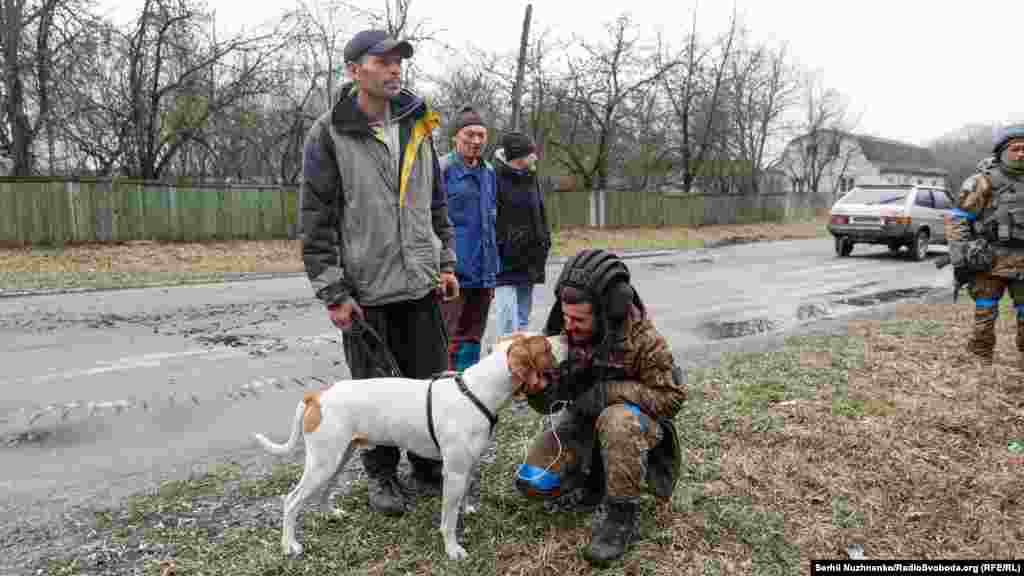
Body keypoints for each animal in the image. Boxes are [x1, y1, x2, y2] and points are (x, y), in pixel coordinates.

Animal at [250, 330, 565, 557]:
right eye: (545, 347)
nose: (564, 336)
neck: (476, 392)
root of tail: (317, 396)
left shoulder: (466, 468)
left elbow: (462, 498)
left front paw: (467, 509)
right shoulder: (454, 472)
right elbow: (448, 519)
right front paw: (452, 548)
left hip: (336, 459)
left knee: (323, 491)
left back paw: (330, 514)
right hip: (322, 464)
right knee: (291, 501)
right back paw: (289, 545)